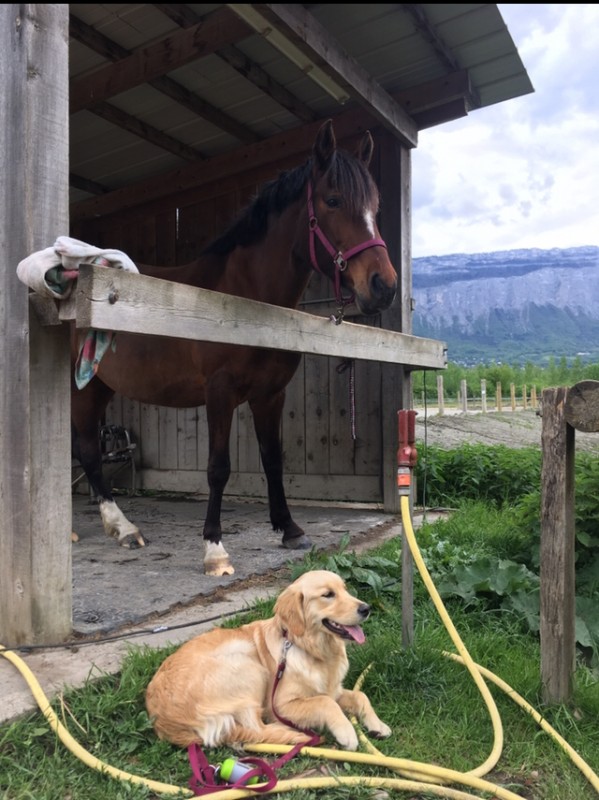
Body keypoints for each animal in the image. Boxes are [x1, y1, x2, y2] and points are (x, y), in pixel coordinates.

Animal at [70, 119, 398, 576]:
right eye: (333, 200)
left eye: (375, 207)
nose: (383, 286)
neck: (243, 296)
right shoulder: (220, 392)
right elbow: (218, 467)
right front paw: (214, 548)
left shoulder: (270, 395)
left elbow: (273, 458)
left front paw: (290, 529)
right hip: (80, 387)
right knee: (84, 450)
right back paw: (121, 528)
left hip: (99, 385)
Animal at [145, 569, 391, 751]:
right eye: (328, 594)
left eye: (344, 590)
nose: (366, 608)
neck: (311, 648)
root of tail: (164, 721)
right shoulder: (282, 705)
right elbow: (325, 702)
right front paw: (347, 732)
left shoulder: (334, 689)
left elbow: (360, 696)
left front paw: (377, 725)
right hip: (248, 665)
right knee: (256, 730)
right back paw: (295, 735)